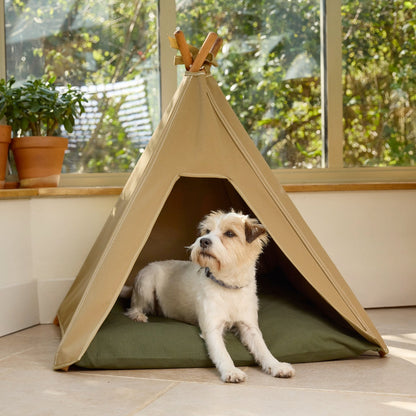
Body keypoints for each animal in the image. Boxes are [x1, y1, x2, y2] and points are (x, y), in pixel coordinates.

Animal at [125, 211, 294, 384]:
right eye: (207, 231)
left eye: (230, 233)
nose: (203, 241)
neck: (228, 286)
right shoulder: (212, 329)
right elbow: (223, 354)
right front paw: (231, 371)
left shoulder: (249, 327)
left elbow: (263, 349)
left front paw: (277, 365)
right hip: (146, 283)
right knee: (134, 306)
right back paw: (138, 315)